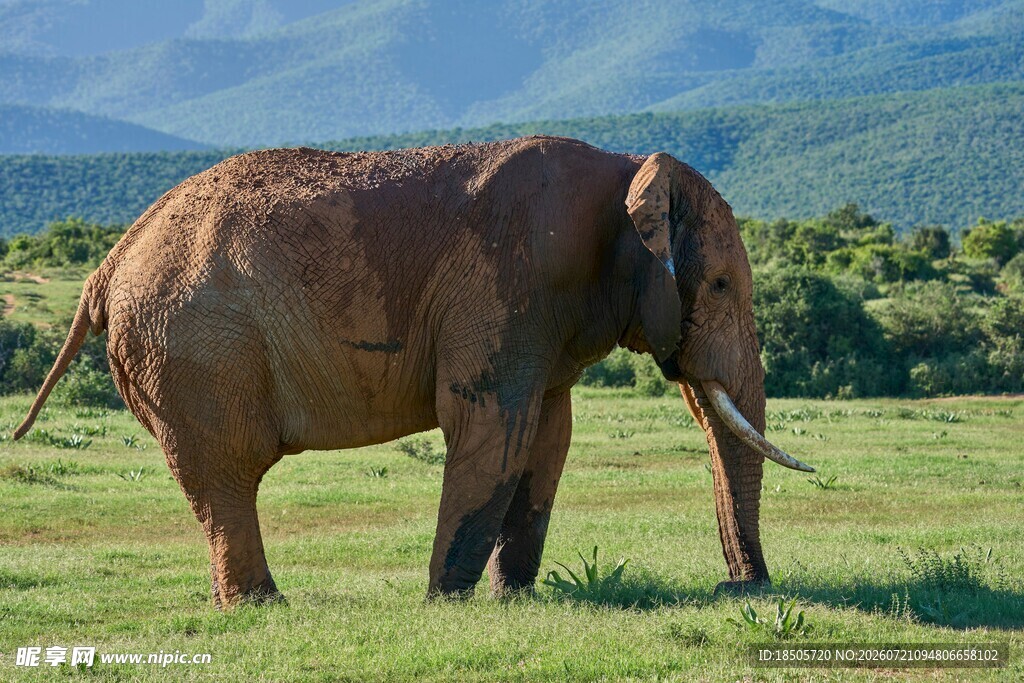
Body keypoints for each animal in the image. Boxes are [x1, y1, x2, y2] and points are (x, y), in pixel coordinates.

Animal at [15, 136, 812, 607]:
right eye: (719, 287)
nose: (743, 588)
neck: (625, 170)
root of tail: (109, 262)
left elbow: (547, 436)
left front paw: (514, 599)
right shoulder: (504, 283)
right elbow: (489, 424)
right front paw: (447, 604)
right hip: (194, 346)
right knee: (226, 474)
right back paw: (263, 606)